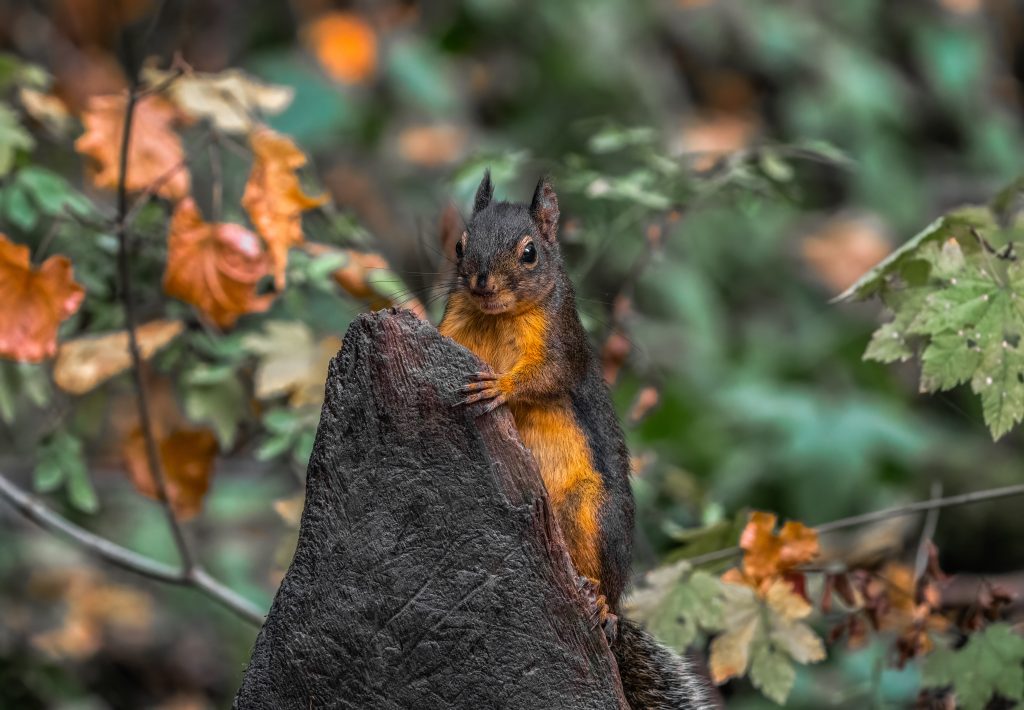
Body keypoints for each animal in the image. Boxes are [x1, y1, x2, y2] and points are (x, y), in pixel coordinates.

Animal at [440, 173, 712, 708]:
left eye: (529, 253)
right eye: (460, 245)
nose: (481, 281)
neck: (496, 316)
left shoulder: (562, 342)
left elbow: (546, 376)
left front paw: (501, 387)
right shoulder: (452, 323)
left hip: (592, 514)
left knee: (605, 585)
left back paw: (599, 603)